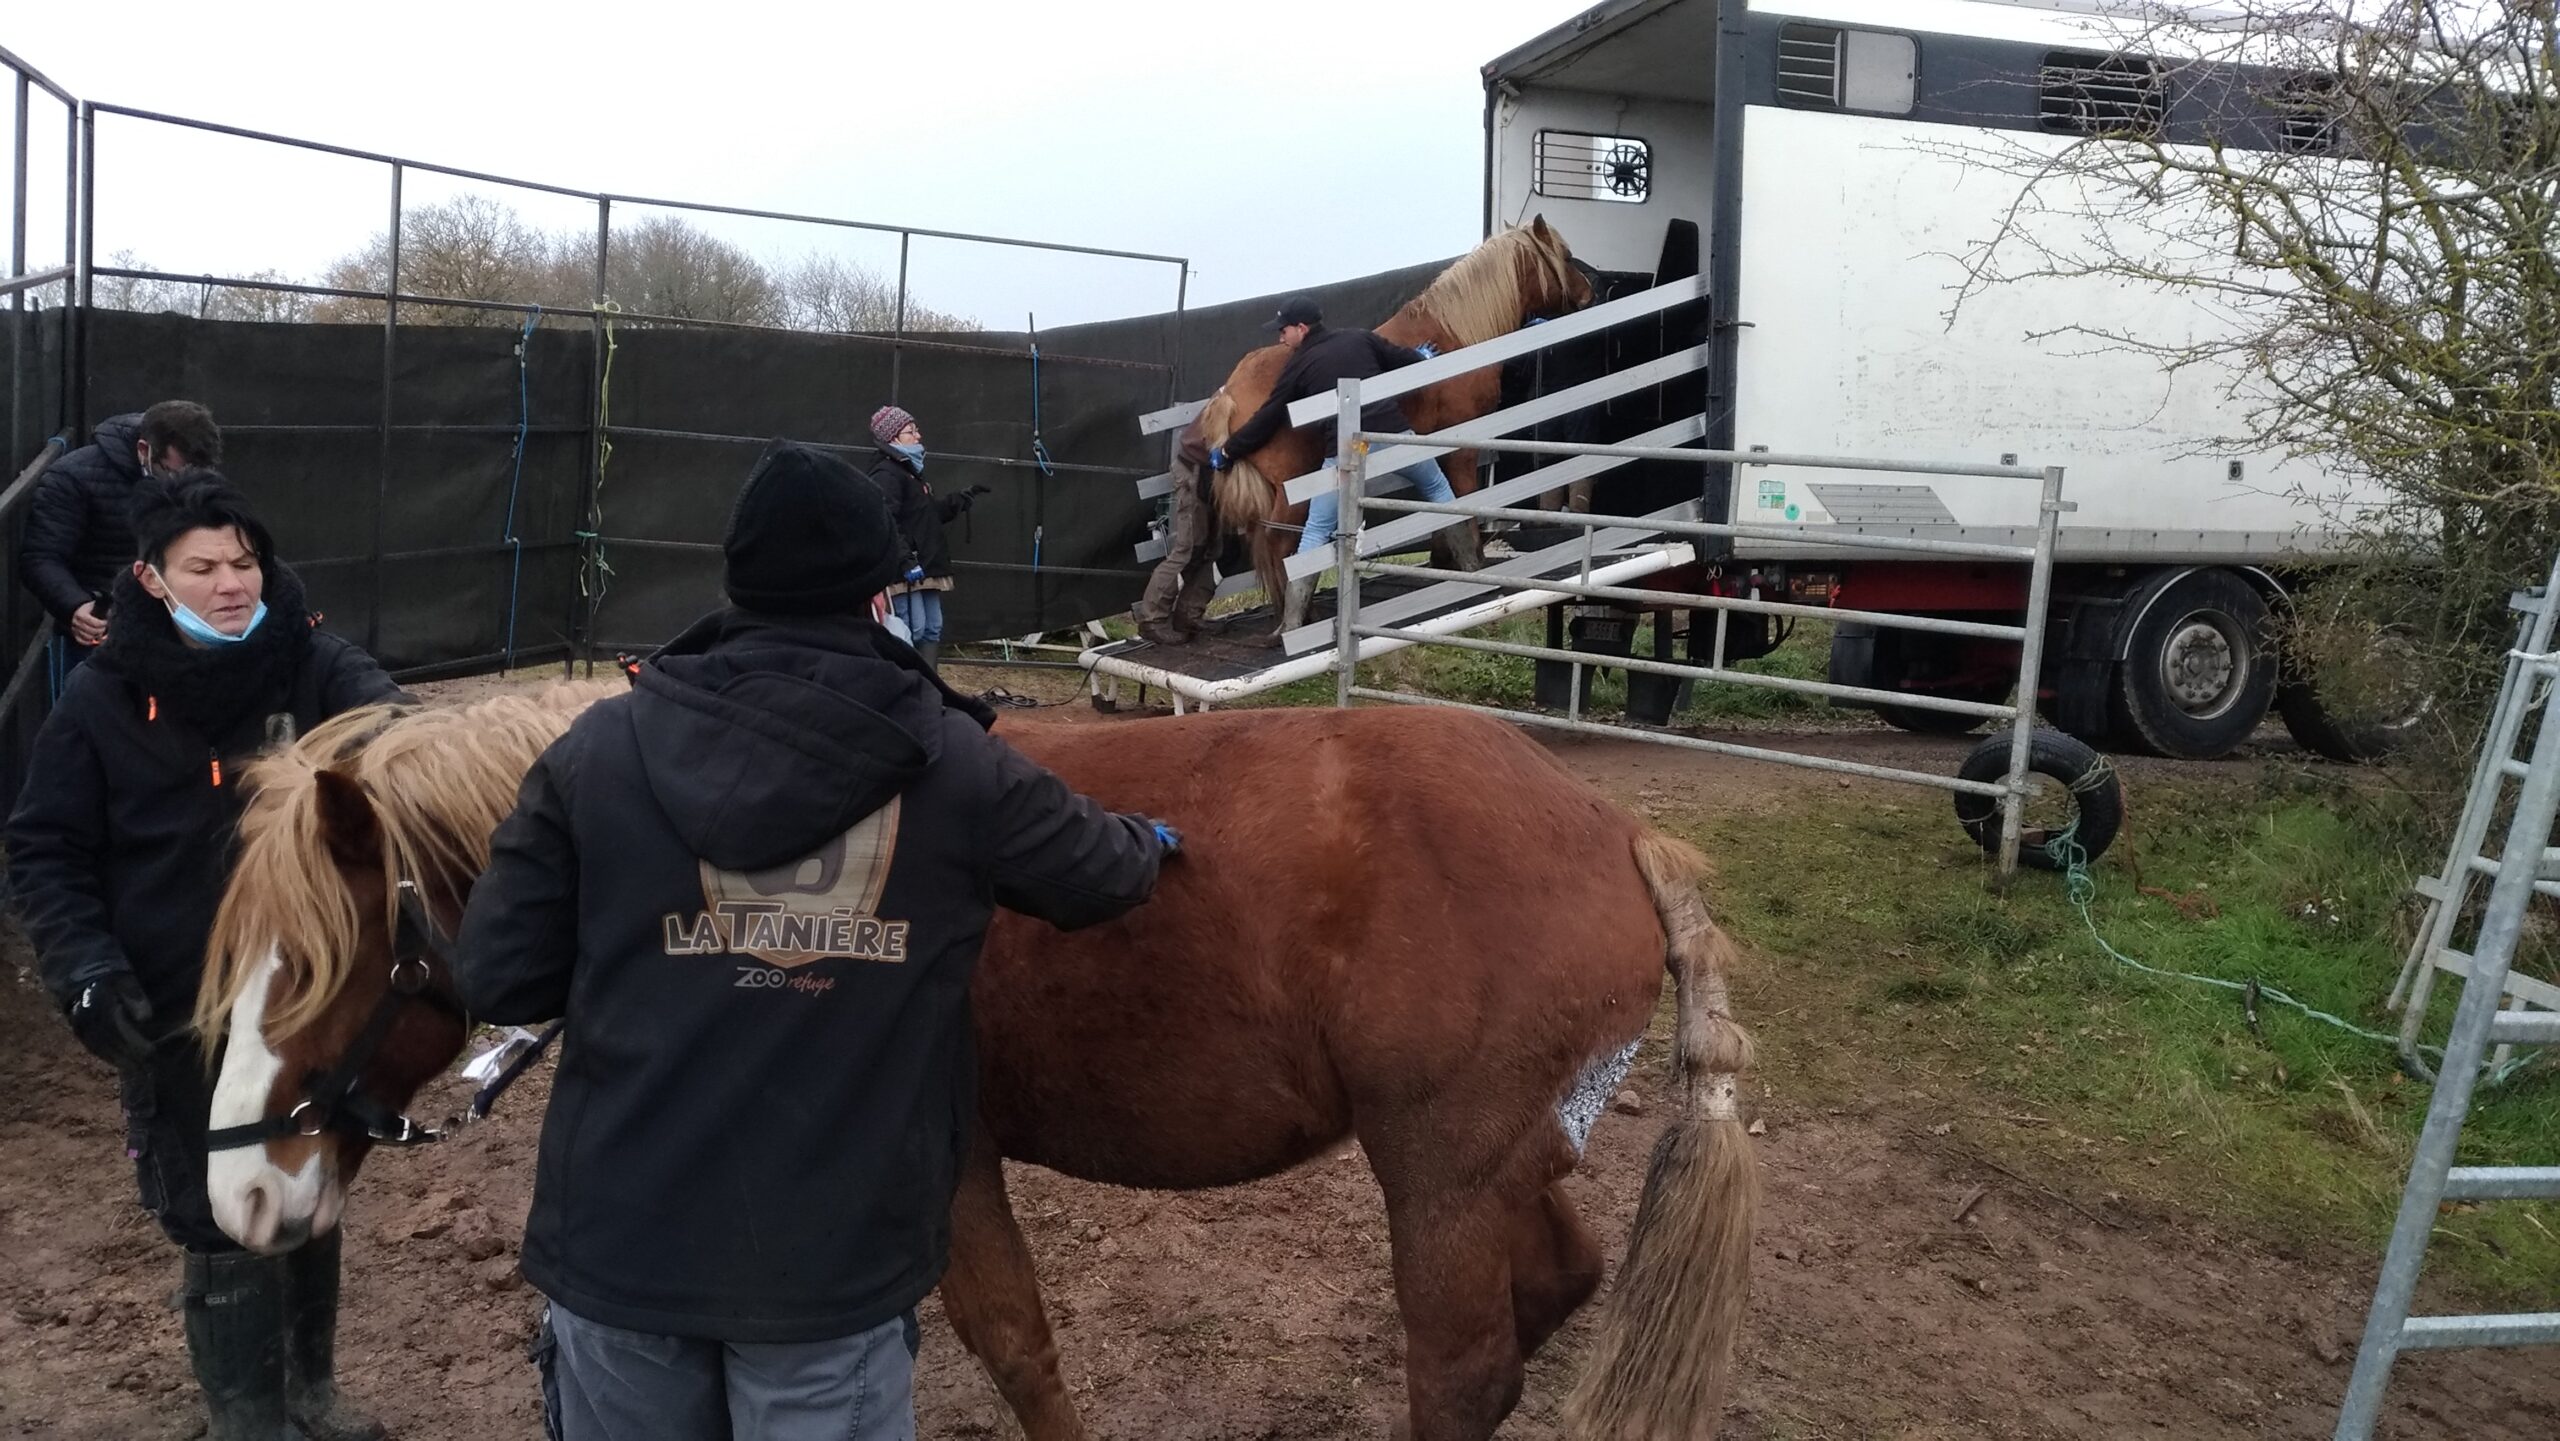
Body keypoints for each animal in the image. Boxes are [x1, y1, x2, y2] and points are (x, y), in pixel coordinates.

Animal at [194, 691, 1761, 1441]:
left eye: (322, 969)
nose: (242, 1198)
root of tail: (1624, 834)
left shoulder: (948, 1170)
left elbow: (1014, 1347)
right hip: (1502, 1167)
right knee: (1556, 1289)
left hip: (1436, 1181)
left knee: (1462, 1372)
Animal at [1203, 213, 1597, 637]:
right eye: (1567, 256)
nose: (1589, 294)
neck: (1455, 336)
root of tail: (1231, 390)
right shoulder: (1462, 442)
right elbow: (1461, 499)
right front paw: (1472, 566)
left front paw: (1444, 559)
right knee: (1280, 545)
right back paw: (1295, 622)